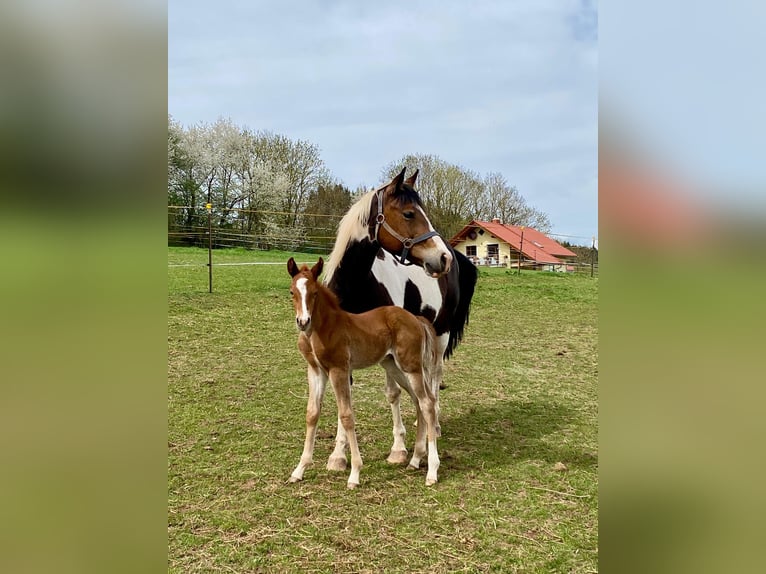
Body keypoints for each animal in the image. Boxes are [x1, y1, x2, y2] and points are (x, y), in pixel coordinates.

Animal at [287, 257, 442, 488]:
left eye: (314, 293)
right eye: (292, 292)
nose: (303, 322)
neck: (323, 329)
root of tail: (416, 318)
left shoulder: (339, 369)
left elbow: (346, 415)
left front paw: (354, 474)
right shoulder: (315, 371)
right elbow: (312, 413)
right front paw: (299, 470)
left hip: (411, 366)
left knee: (427, 403)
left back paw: (431, 471)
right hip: (393, 365)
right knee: (418, 400)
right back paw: (415, 460)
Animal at [322, 167, 478, 470]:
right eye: (408, 213)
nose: (441, 257)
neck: (356, 285)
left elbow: (393, 393)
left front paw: (398, 449)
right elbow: (344, 397)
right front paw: (338, 454)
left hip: (440, 335)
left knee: (434, 376)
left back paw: (433, 424)